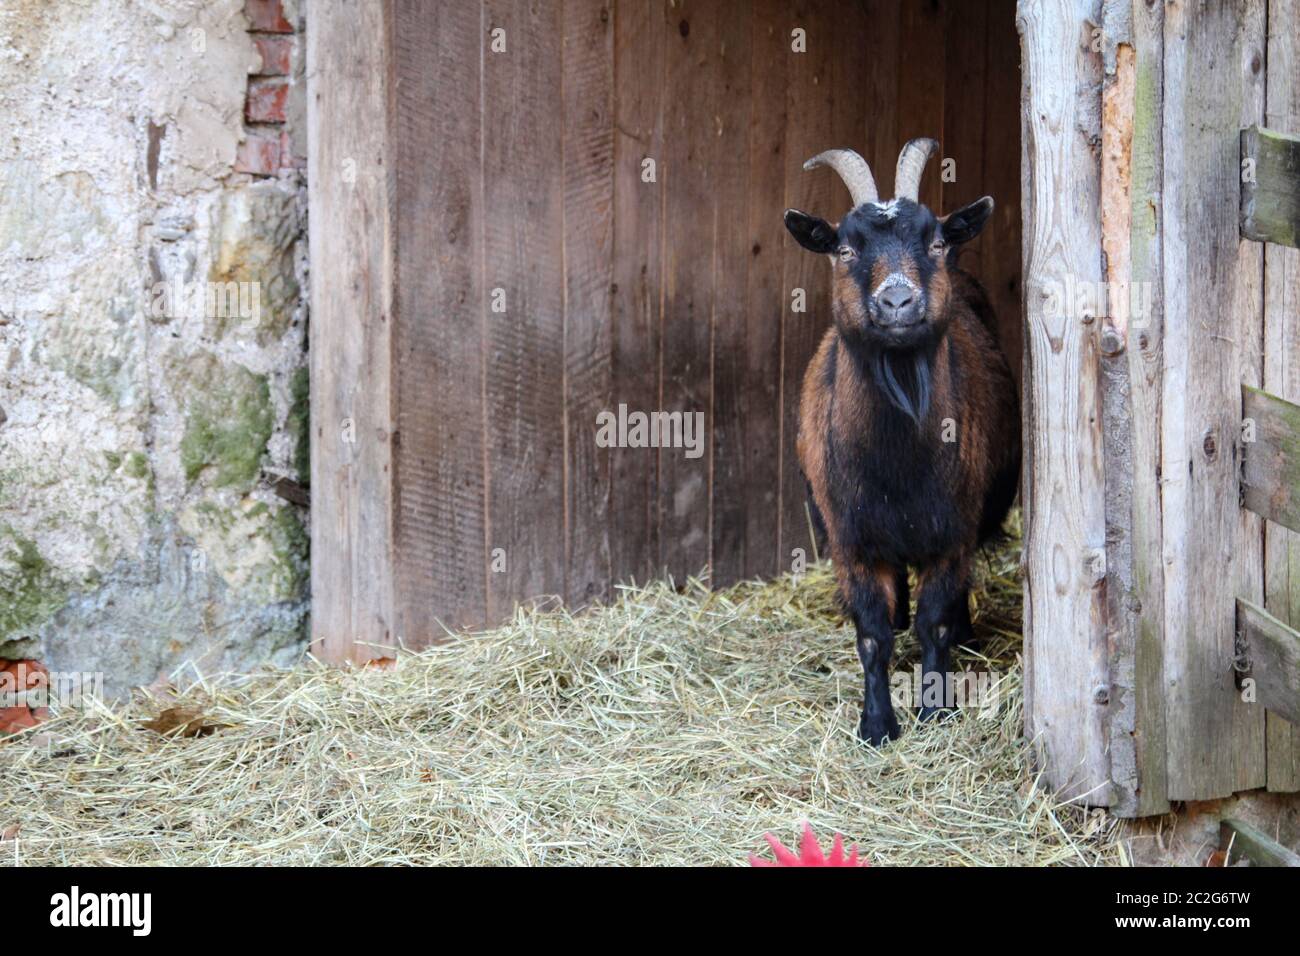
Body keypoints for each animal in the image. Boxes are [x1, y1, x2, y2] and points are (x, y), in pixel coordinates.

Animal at [780, 138, 1024, 743]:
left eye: (934, 241)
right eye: (844, 249)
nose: (897, 302)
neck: (897, 465)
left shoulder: (952, 531)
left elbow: (935, 623)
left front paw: (935, 710)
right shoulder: (852, 539)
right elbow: (871, 635)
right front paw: (876, 725)